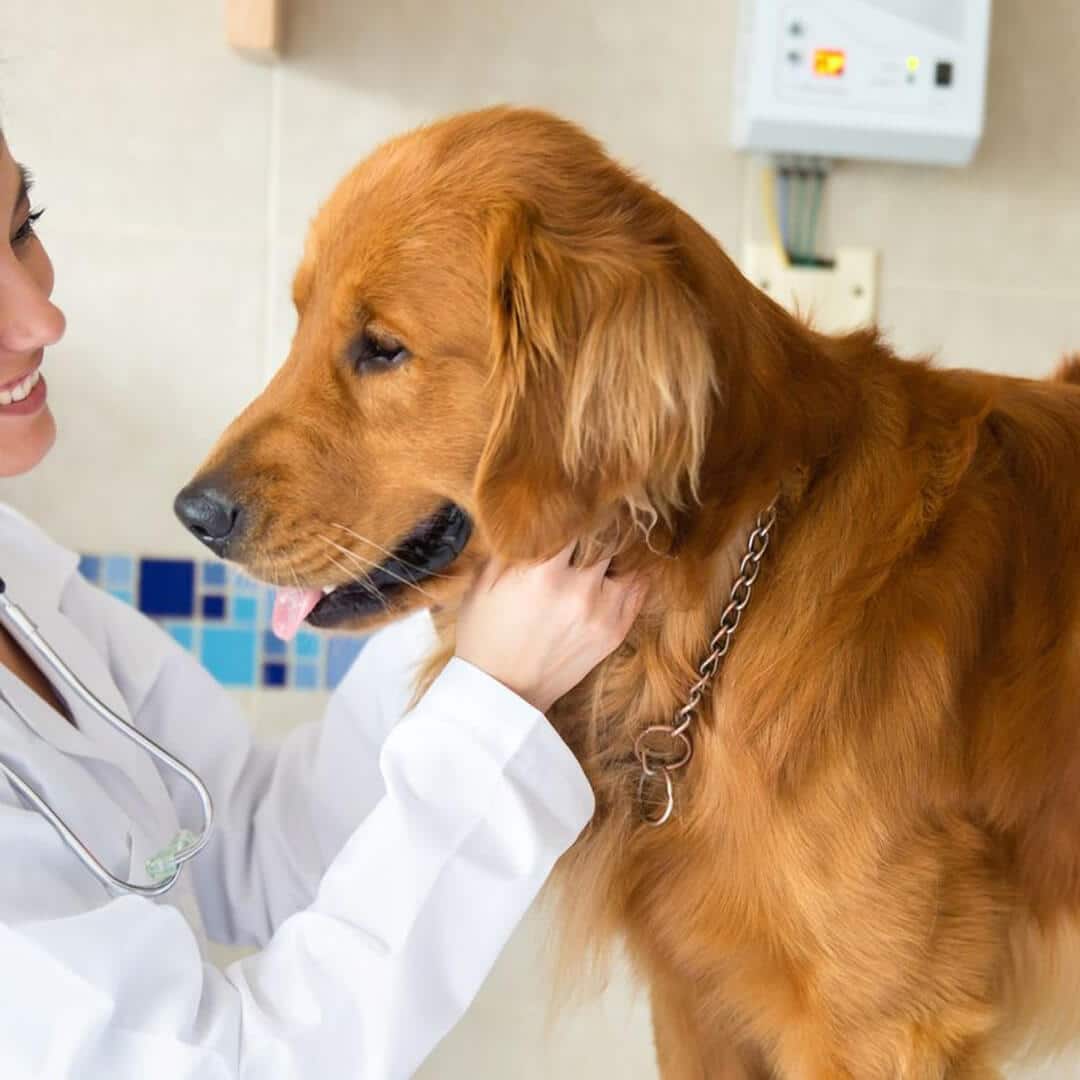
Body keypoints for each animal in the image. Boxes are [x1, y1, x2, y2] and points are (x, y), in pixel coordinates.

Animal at [172, 111, 1080, 1080]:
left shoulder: (884, 1021)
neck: (719, 596)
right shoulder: (696, 997)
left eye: (383, 348)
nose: (193, 513)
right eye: (300, 323)